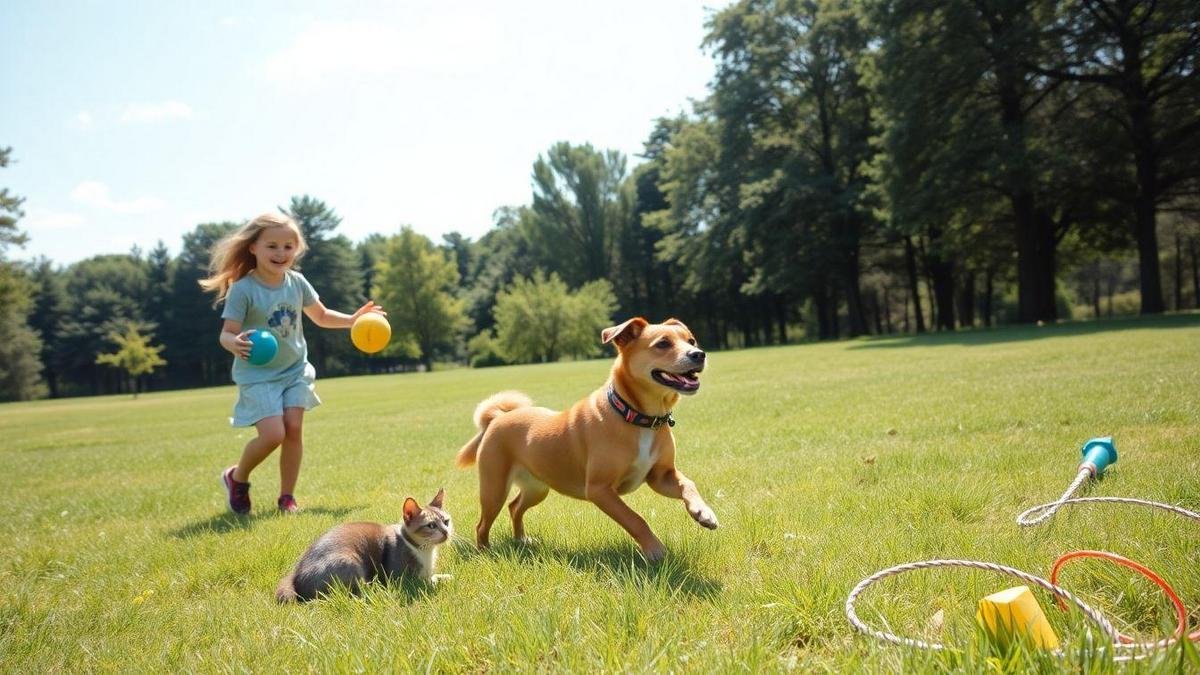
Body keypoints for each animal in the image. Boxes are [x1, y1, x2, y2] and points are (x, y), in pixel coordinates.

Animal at [456, 317, 715, 559]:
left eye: (691, 341)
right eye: (663, 343)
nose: (699, 354)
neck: (639, 417)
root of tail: (497, 418)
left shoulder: (661, 476)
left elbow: (688, 484)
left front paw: (703, 511)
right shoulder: (600, 489)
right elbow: (635, 519)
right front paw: (654, 549)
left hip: (536, 487)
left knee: (514, 507)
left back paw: (522, 539)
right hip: (494, 488)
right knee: (482, 524)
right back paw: (485, 551)